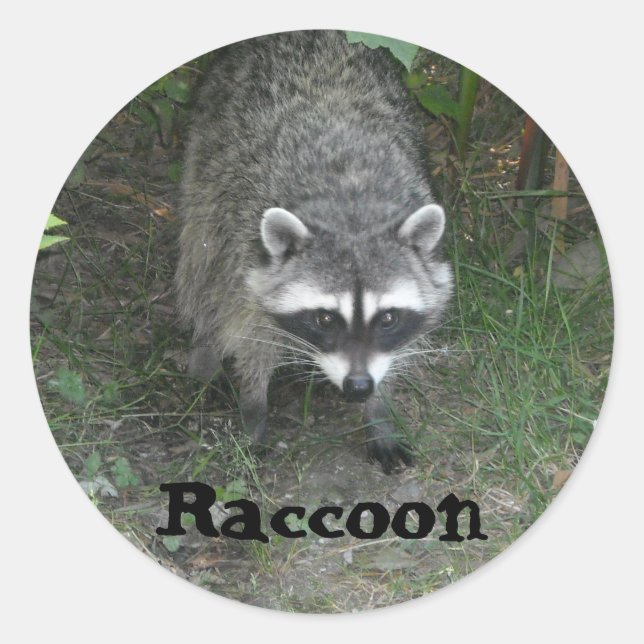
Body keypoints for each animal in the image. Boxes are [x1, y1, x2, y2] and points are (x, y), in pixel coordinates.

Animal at [175, 30, 453, 473]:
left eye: (387, 317)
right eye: (324, 318)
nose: (358, 386)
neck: (351, 210)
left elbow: (393, 352)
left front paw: (380, 412)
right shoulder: (245, 251)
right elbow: (250, 335)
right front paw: (253, 409)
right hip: (208, 148)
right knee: (200, 257)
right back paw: (204, 343)